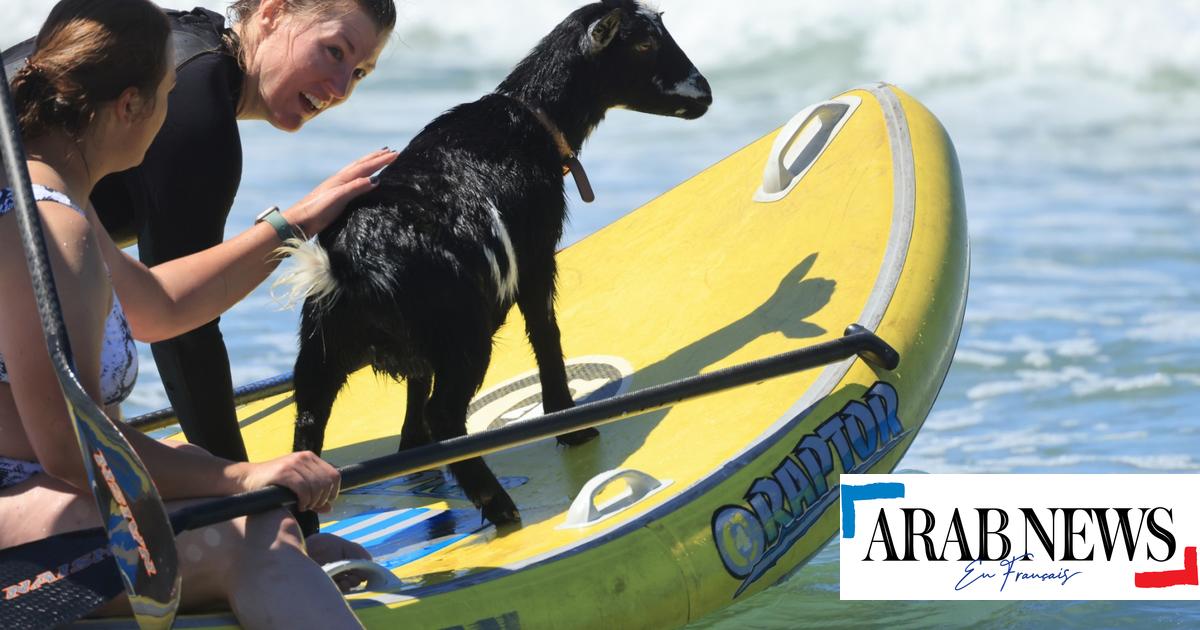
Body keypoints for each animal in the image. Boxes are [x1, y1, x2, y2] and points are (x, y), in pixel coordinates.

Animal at [280, 0, 710, 523]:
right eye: (644, 43)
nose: (704, 94)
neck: (530, 120)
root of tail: (350, 263)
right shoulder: (535, 256)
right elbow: (545, 330)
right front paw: (570, 424)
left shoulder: (423, 349)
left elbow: (416, 389)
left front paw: (413, 452)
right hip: (462, 333)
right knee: (445, 414)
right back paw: (499, 505)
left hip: (323, 346)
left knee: (308, 422)